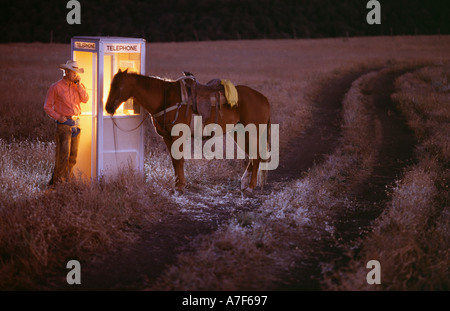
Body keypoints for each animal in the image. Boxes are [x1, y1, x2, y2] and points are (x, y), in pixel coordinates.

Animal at [105, 69, 270, 194]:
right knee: (252, 156)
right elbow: (174, 161)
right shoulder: (166, 137)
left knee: (257, 157)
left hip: (252, 133)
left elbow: (179, 160)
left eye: (117, 86)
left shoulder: (177, 136)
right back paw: (244, 184)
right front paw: (177, 185)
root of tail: (264, 98)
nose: (108, 108)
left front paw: (179, 187)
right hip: (239, 133)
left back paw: (250, 187)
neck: (165, 98)